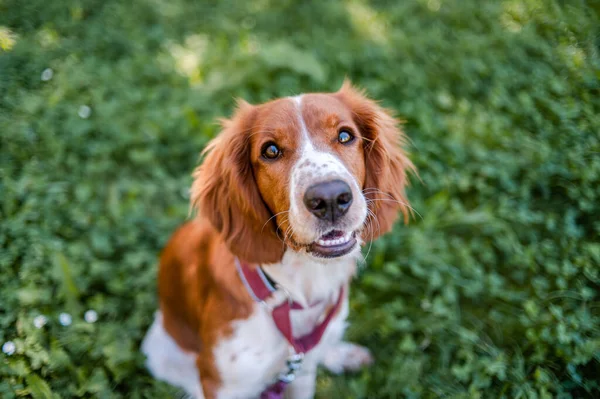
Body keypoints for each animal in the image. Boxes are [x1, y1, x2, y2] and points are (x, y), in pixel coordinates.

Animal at [142, 82, 412, 399]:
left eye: (345, 135)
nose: (330, 198)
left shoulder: (302, 373)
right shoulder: (222, 383)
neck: (294, 293)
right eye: (270, 150)